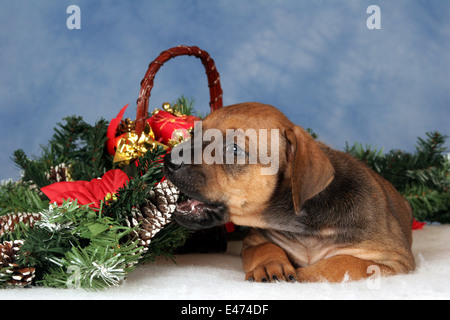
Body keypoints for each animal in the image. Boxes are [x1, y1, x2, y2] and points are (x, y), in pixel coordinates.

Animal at [164, 102, 414, 282]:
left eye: (234, 149)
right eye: (194, 134)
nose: (168, 160)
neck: (301, 222)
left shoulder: (394, 261)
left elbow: (343, 263)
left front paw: (304, 274)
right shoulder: (253, 241)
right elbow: (265, 247)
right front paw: (269, 265)